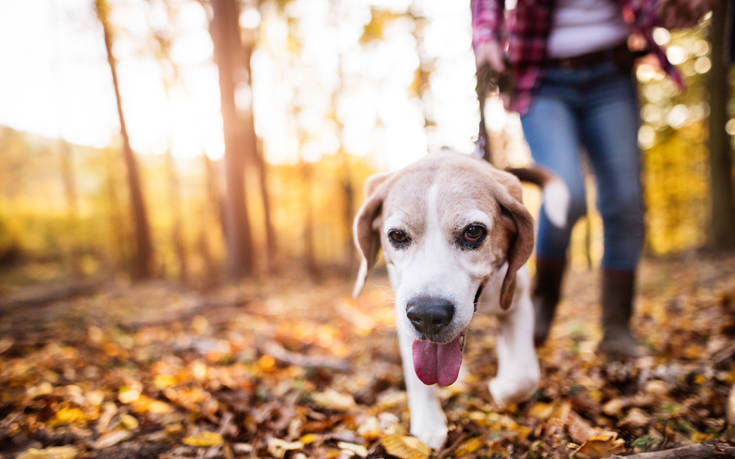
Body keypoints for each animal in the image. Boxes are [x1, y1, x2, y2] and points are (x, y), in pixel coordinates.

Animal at [350, 151, 568, 450]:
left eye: (473, 232)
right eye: (397, 236)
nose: (427, 315)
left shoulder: (517, 303)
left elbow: (524, 375)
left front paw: (501, 389)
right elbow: (418, 378)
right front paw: (429, 424)